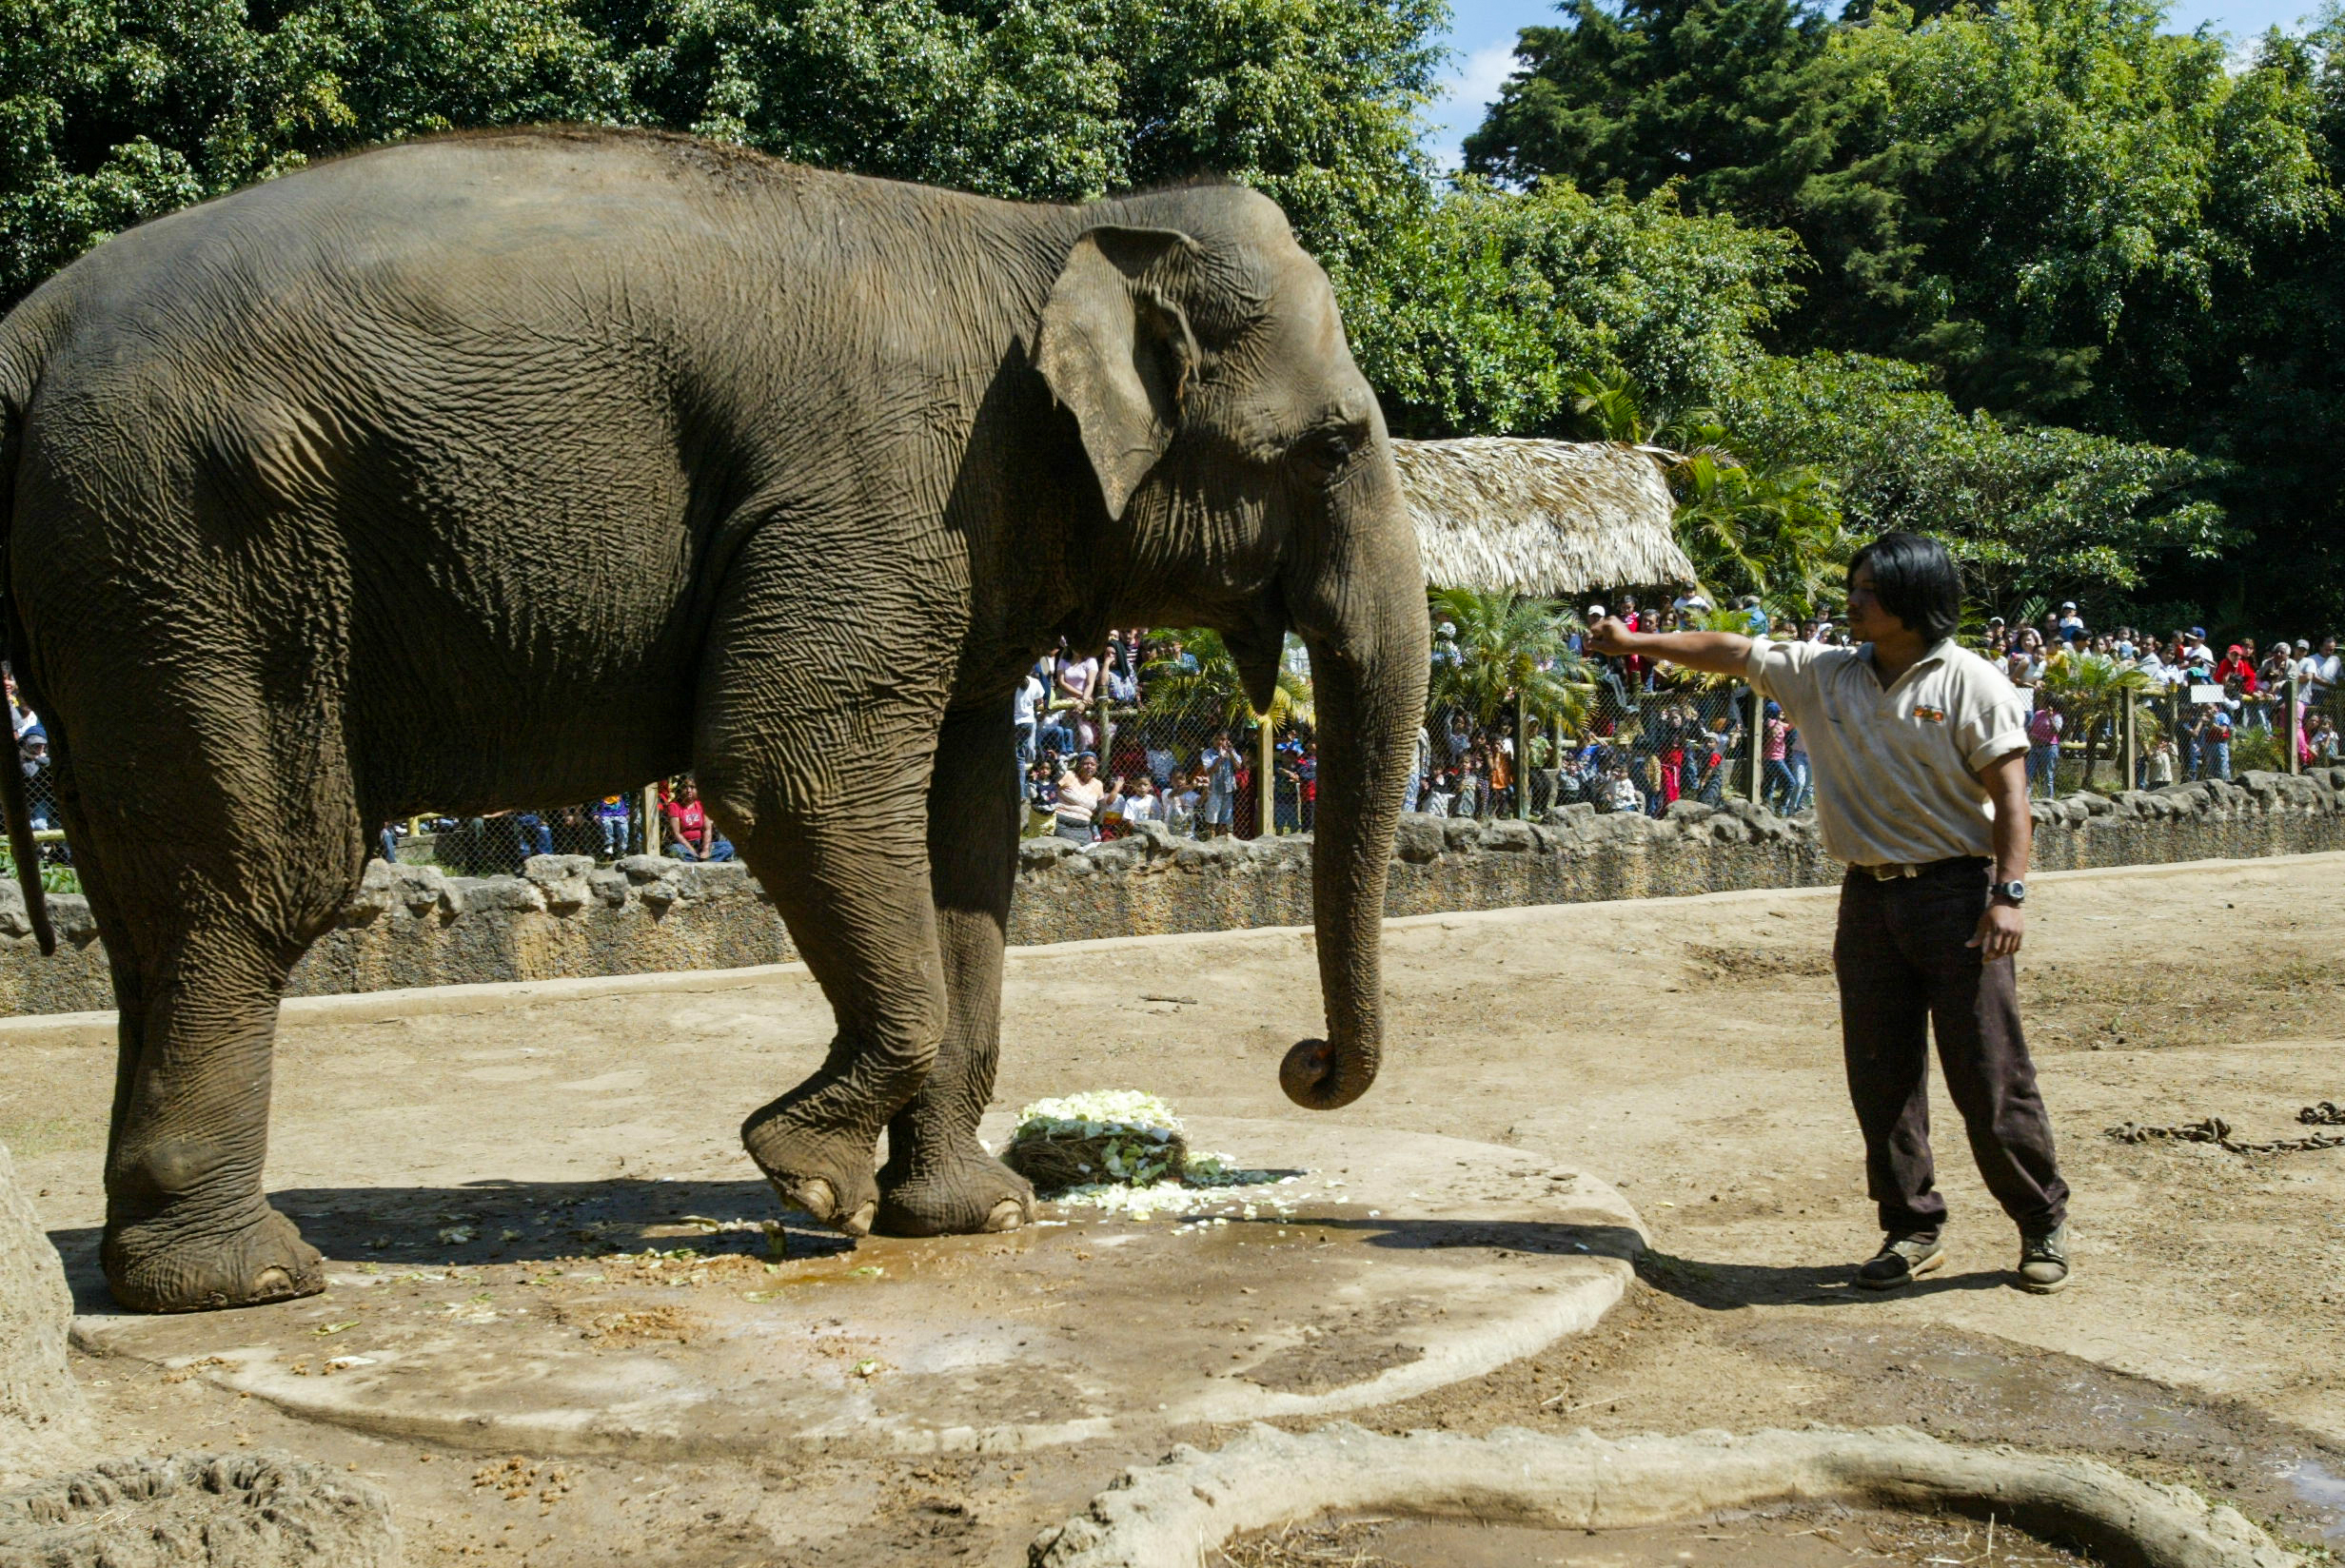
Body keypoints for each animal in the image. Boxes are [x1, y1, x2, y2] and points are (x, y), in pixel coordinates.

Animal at [0, 127, 1426, 1312]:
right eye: (1334, 444)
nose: (1302, 1066)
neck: (1053, 231)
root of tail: (32, 326)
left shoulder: (966, 534)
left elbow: (964, 835)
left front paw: (973, 1217)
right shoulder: (883, 489)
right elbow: (790, 762)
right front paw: (807, 1180)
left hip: (122, 587)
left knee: (146, 906)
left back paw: (163, 1267)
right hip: (196, 551)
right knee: (257, 885)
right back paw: (250, 1282)